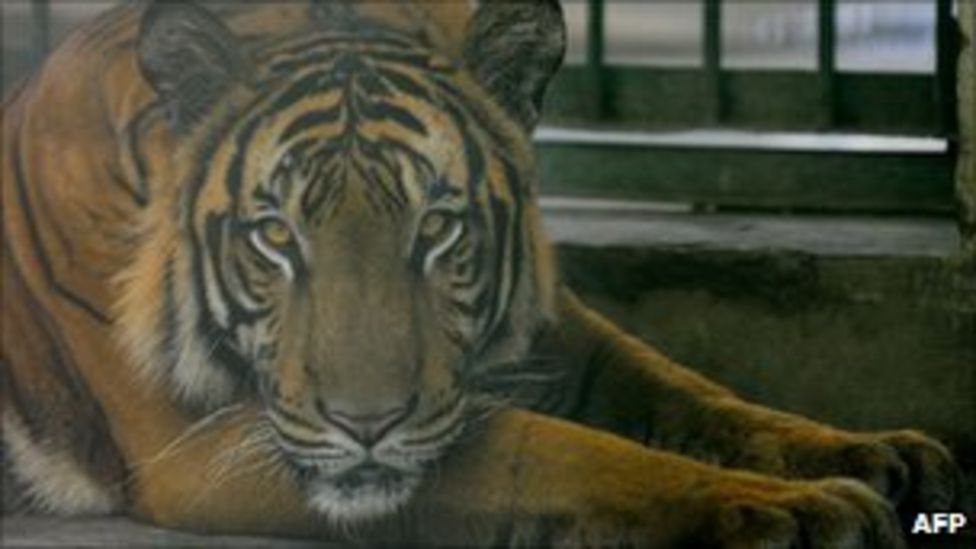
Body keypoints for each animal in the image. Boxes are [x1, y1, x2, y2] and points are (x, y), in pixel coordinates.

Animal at [1, 0, 964, 546]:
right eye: (275, 234)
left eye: (437, 225)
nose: (366, 420)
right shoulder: (209, 440)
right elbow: (558, 453)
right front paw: (799, 509)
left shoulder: (554, 332)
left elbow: (690, 394)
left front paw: (875, 452)